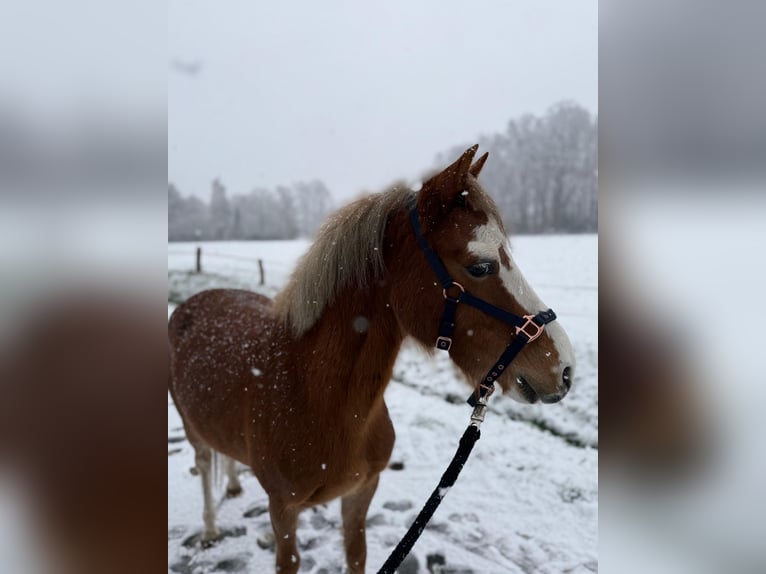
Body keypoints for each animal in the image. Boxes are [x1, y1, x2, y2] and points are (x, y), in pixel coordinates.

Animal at [168, 147, 576, 574]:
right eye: (480, 266)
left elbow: (356, 554)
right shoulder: (283, 510)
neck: (314, 396)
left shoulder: (362, 492)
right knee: (203, 465)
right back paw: (210, 529)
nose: (564, 370)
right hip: (191, 427)